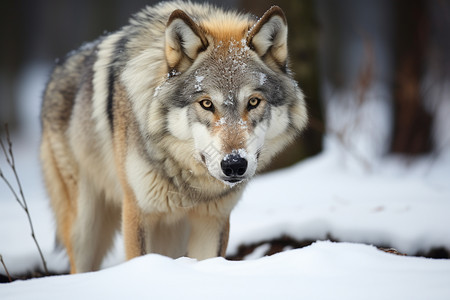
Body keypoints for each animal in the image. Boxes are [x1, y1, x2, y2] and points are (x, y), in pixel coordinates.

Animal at [40, 0, 308, 274]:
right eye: (206, 103)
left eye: (253, 102)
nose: (234, 165)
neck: (187, 179)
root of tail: (57, 70)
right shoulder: (138, 212)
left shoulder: (212, 220)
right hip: (85, 229)